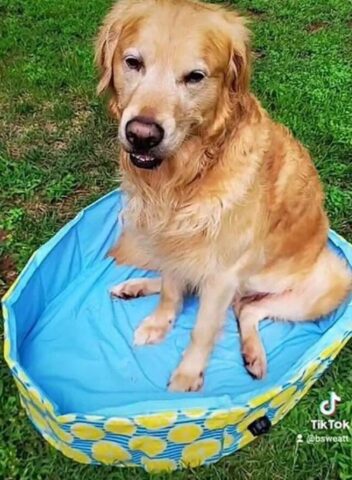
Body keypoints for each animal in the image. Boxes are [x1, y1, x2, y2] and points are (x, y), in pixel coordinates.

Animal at [95, 0, 350, 392]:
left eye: (195, 77)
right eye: (133, 62)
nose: (142, 135)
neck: (188, 174)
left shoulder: (223, 274)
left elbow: (201, 329)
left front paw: (187, 376)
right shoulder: (174, 243)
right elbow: (172, 292)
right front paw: (159, 323)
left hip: (332, 280)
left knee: (247, 308)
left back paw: (253, 354)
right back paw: (134, 286)